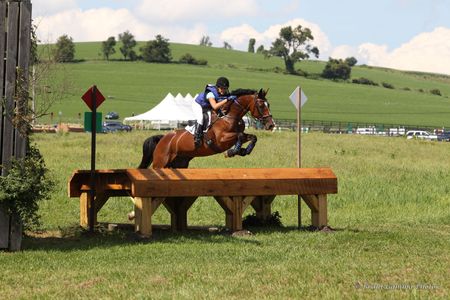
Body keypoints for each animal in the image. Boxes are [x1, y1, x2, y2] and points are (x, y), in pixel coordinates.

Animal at [138, 88, 274, 169]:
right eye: (261, 105)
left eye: (268, 104)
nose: (271, 125)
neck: (229, 116)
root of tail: (162, 139)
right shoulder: (221, 139)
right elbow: (239, 136)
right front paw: (232, 151)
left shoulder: (237, 135)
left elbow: (252, 137)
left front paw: (243, 151)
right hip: (160, 163)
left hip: (179, 163)